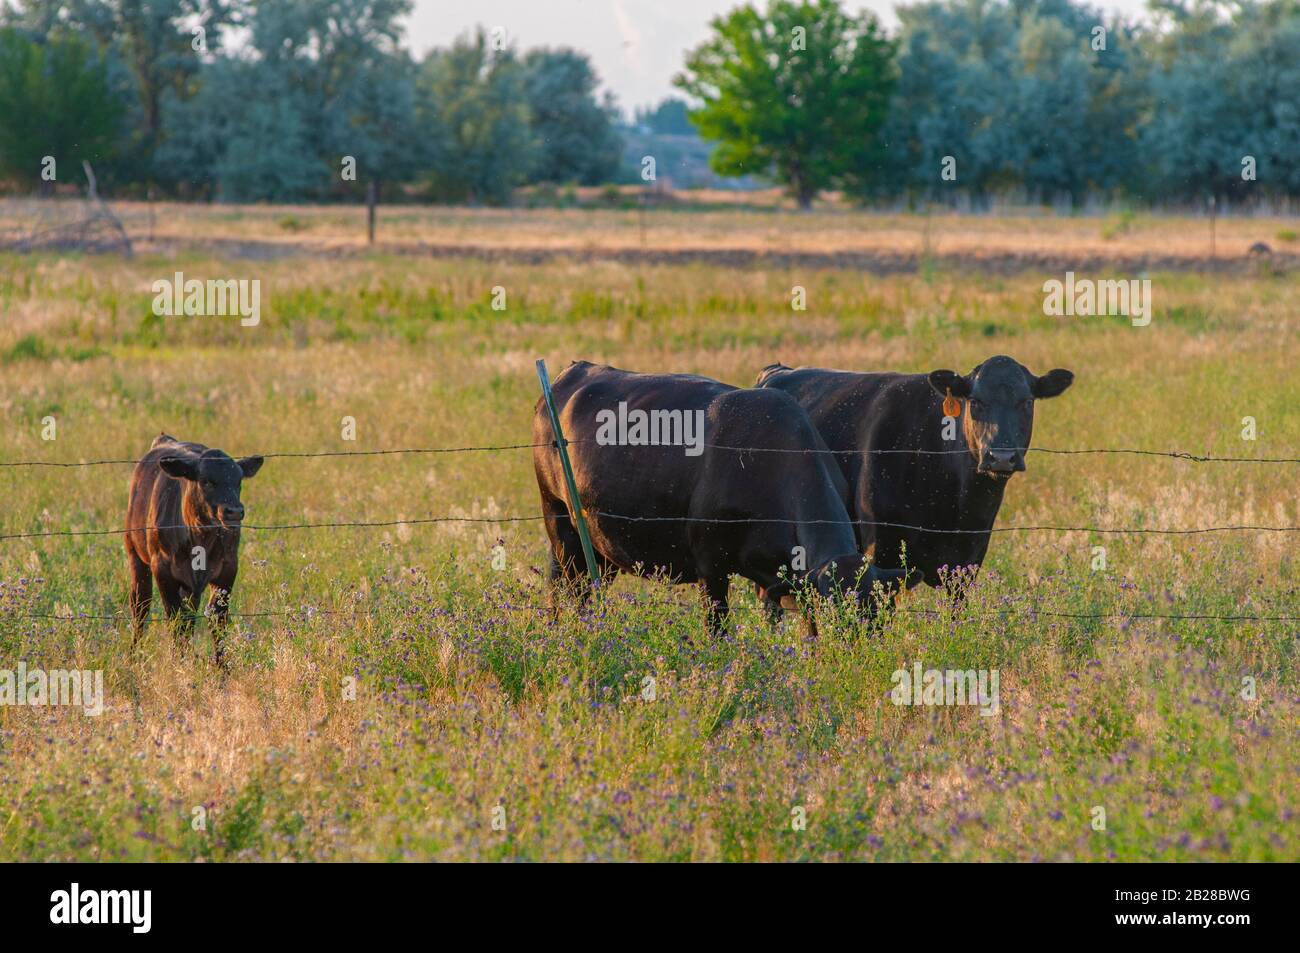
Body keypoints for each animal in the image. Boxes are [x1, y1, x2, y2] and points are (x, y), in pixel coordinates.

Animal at [124, 433, 264, 664]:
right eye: (206, 481)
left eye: (238, 481)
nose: (234, 511)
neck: (201, 538)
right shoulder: (162, 568)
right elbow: (175, 618)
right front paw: (179, 662)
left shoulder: (228, 567)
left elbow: (217, 618)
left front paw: (221, 666)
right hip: (135, 554)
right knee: (140, 606)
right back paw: (134, 656)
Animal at [533, 361, 905, 635]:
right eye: (834, 617)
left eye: (877, 621)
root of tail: (578, 369)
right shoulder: (710, 566)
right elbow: (718, 628)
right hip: (558, 520)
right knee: (563, 592)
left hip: (599, 543)